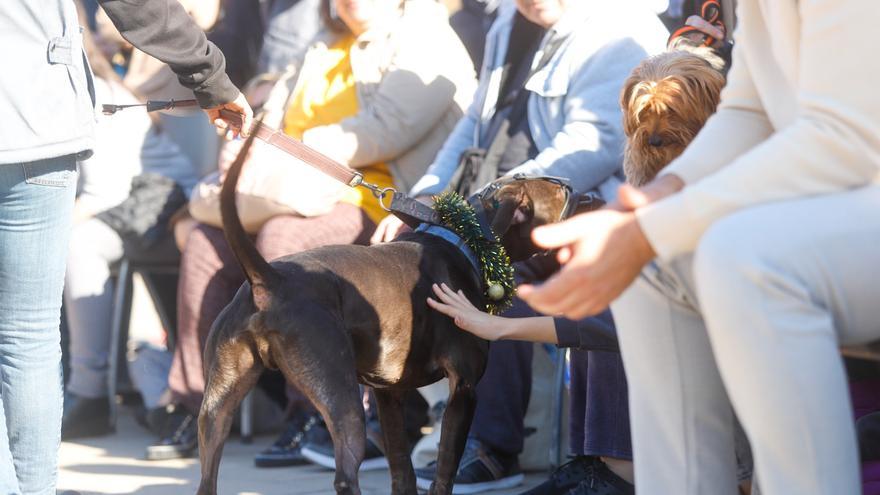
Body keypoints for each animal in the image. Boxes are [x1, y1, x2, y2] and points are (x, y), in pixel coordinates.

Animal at [194, 134, 576, 494]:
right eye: (559, 191)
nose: (577, 191)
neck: (465, 238)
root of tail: (270, 279)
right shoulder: (463, 390)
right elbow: (443, 474)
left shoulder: (388, 394)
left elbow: (402, 471)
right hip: (344, 401)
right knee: (345, 477)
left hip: (217, 409)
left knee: (207, 479)